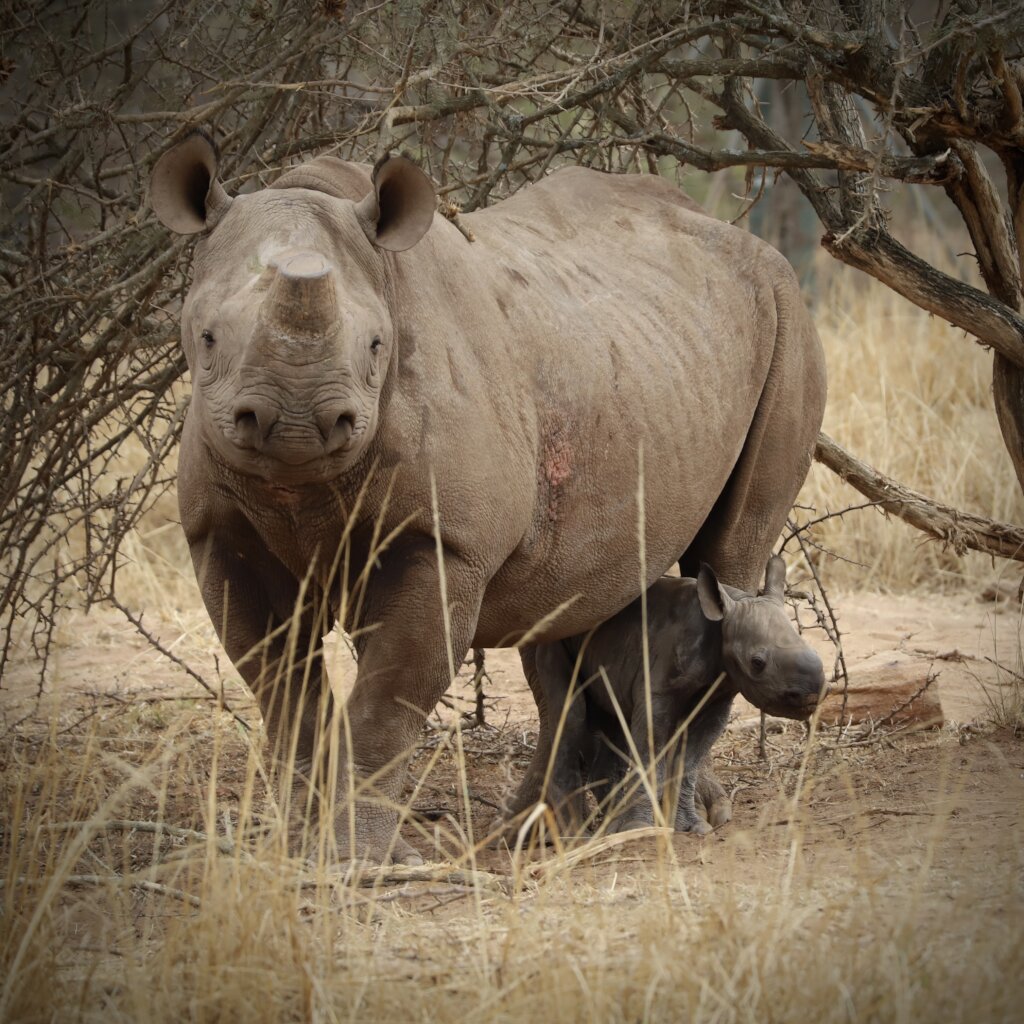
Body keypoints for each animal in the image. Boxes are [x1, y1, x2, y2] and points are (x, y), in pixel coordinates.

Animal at [526, 555, 826, 837]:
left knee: (614, 721)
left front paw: (691, 826)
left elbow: (688, 760)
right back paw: (576, 836)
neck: (723, 622)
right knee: (571, 716)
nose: (810, 697)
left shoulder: (719, 696)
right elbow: (650, 751)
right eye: (757, 663)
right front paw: (638, 828)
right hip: (557, 641)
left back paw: (609, 826)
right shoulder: (658, 689)